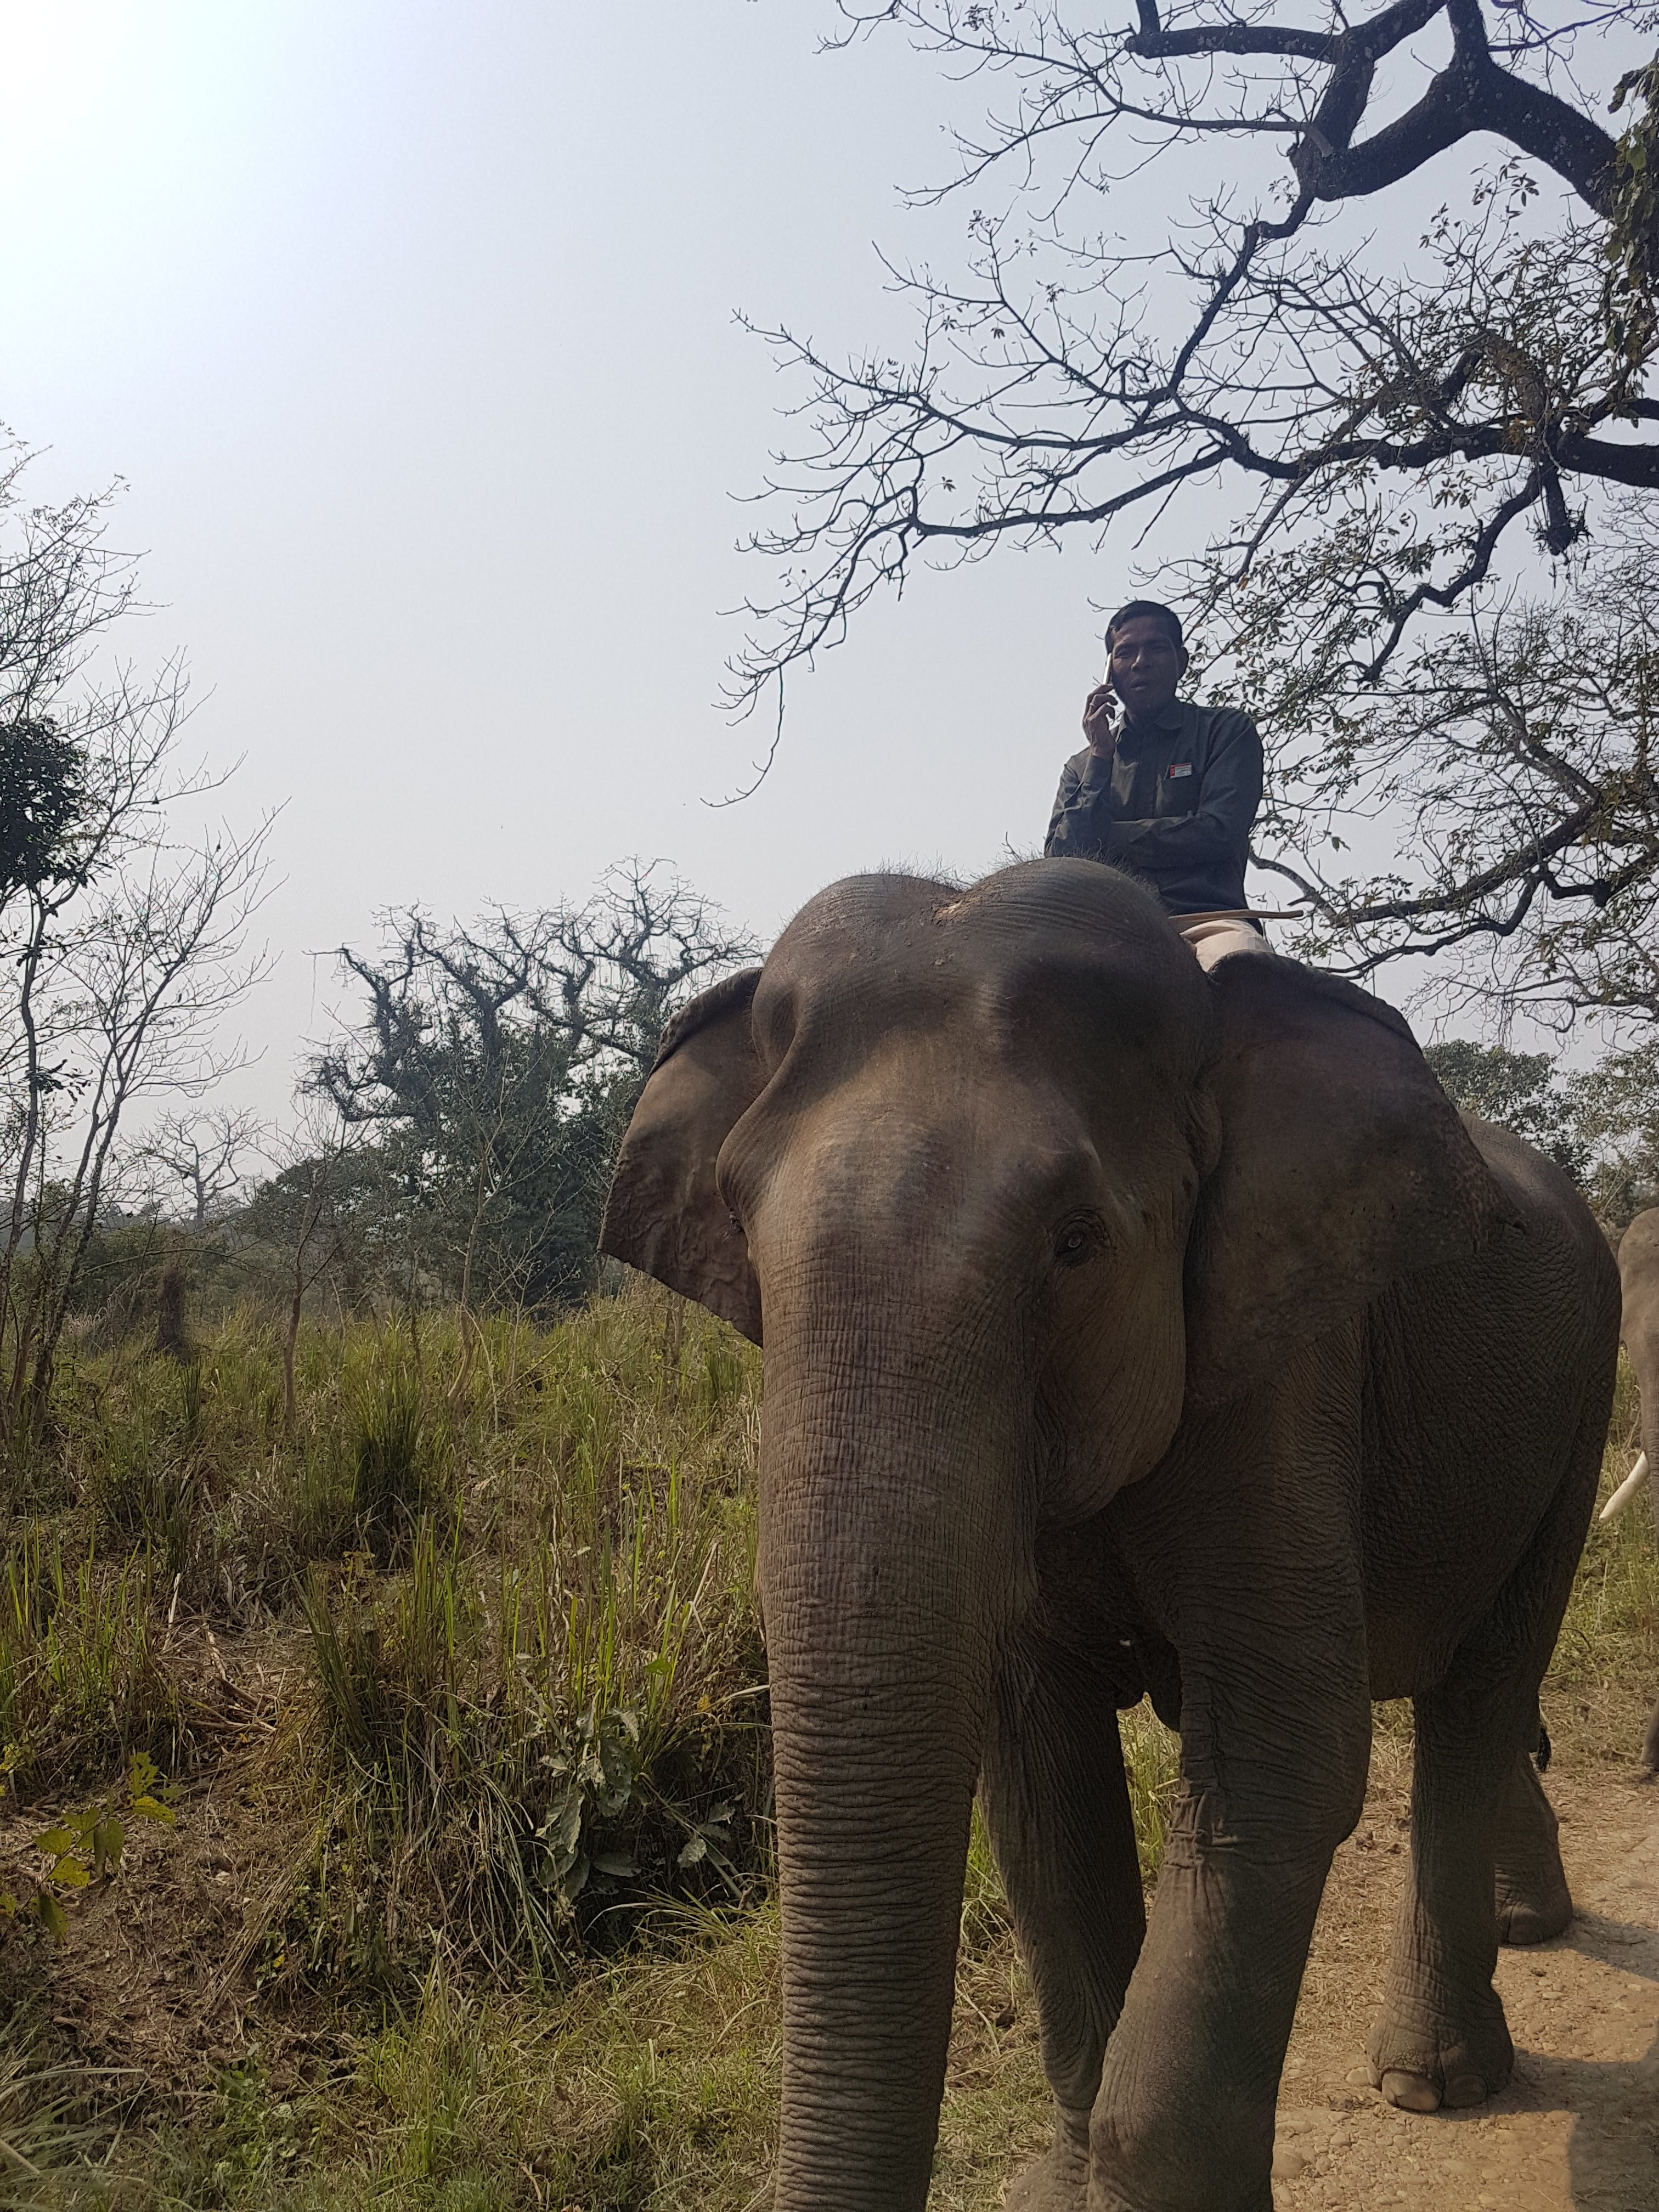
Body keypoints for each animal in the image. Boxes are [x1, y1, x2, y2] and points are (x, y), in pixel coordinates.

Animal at [599, 860, 1621, 2212]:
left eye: (1075, 1243)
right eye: (738, 1225)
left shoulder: (1281, 1370)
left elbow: (1283, 1756)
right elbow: (1038, 1772)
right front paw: (1065, 2182)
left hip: (1581, 1397)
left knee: (1481, 1691)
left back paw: (1432, 2081)